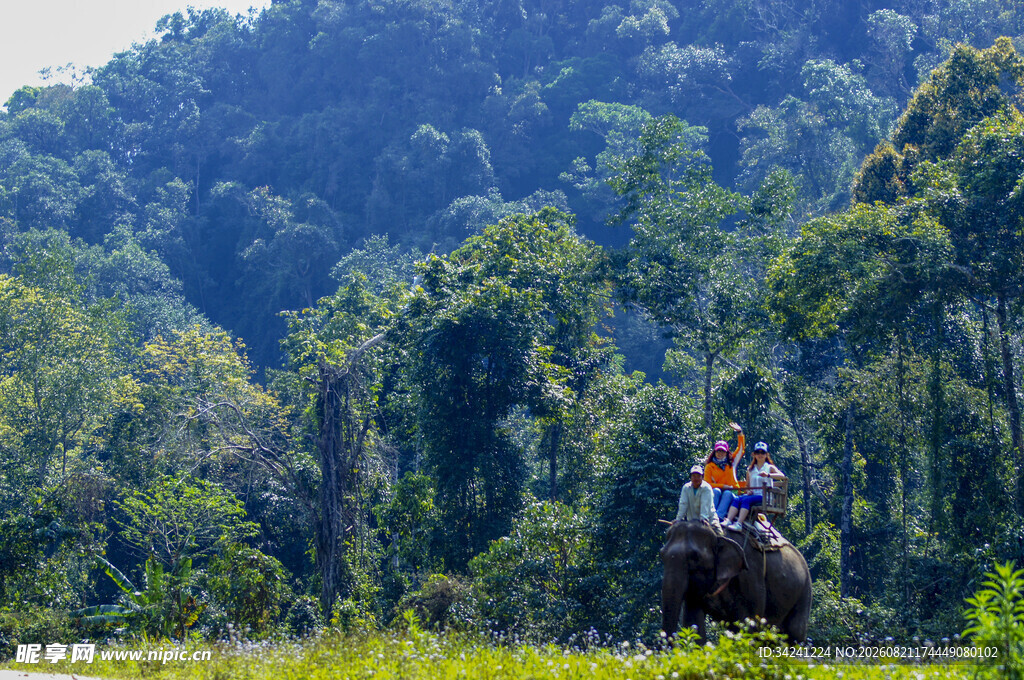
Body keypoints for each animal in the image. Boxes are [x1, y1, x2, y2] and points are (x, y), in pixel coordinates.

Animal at [660, 520, 812, 643]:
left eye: (695, 557)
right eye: (662, 554)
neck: (718, 534)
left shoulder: (750, 573)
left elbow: (749, 623)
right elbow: (693, 622)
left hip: (804, 591)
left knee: (794, 634)